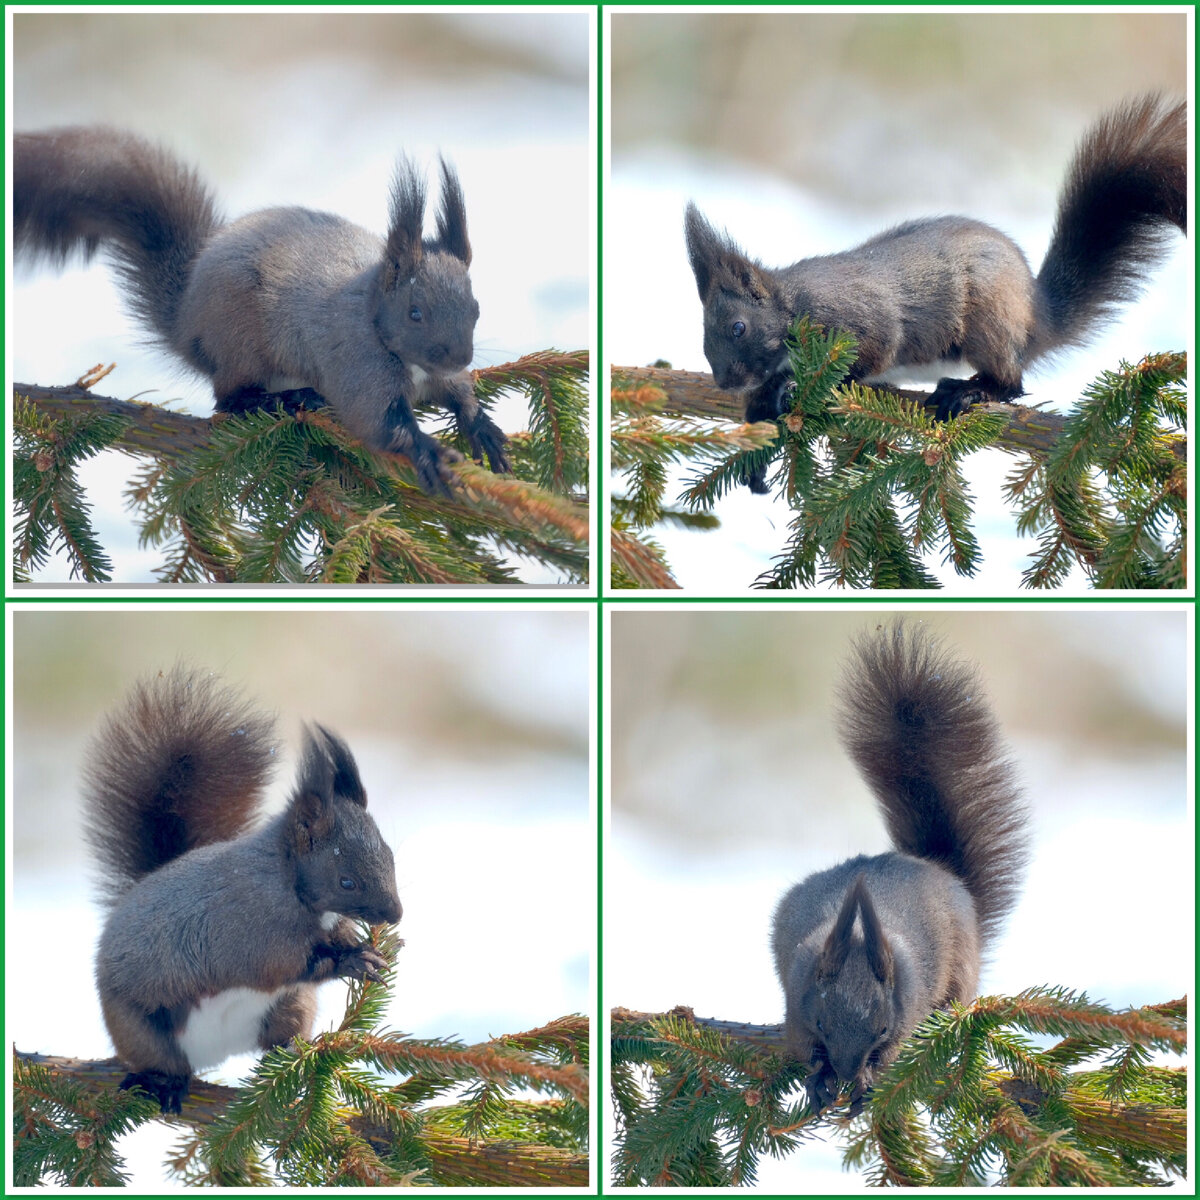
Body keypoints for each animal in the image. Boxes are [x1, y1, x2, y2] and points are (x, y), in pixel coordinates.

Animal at [14, 124, 511, 494]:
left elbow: (459, 394)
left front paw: (481, 426)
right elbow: (378, 421)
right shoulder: (357, 361)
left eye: (476, 307)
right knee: (230, 399)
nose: (460, 355)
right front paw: (429, 452)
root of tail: (187, 320)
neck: (372, 307)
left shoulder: (441, 374)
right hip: (241, 342)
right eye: (414, 313)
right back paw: (286, 398)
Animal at [84, 672, 405, 1108]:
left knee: (279, 1039)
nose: (396, 914)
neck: (287, 881)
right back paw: (162, 1083)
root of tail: (215, 1050)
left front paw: (363, 948)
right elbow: (292, 965)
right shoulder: (254, 936)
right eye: (346, 881)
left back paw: (292, 1058)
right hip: (140, 1027)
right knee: (164, 1060)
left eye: (390, 855)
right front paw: (355, 960)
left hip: (290, 1008)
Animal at [691, 88, 1185, 492]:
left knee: (1012, 382)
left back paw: (970, 392)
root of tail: (1035, 315)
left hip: (988, 321)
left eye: (738, 327)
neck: (792, 308)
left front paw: (798, 388)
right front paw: (758, 431)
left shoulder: (859, 318)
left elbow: (871, 354)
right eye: (703, 335)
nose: (725, 382)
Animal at [772, 628, 1027, 1113]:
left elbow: (894, 1051)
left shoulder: (908, 1010)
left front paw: (867, 1080)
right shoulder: (797, 1002)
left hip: (960, 971)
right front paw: (819, 1078)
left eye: (882, 1029)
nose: (847, 1071)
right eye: (822, 1021)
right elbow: (803, 1046)